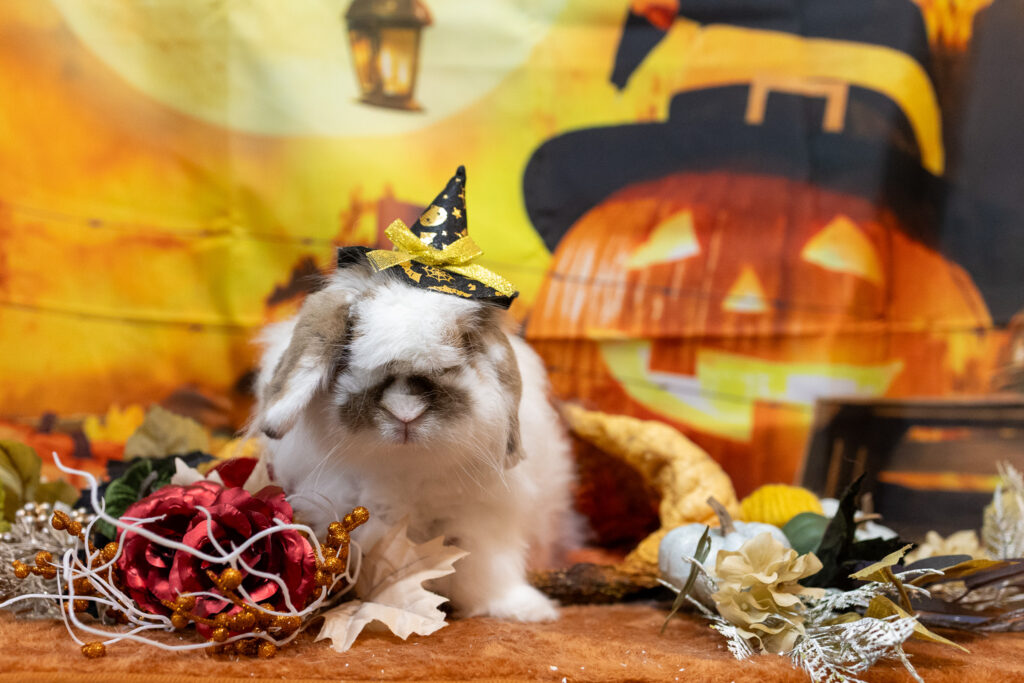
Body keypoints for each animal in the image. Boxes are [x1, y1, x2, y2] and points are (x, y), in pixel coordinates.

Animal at [250, 256, 579, 622]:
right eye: (349, 350)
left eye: (465, 347)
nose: (405, 412)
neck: (406, 465)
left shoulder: (482, 523)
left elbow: (487, 571)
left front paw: (525, 608)